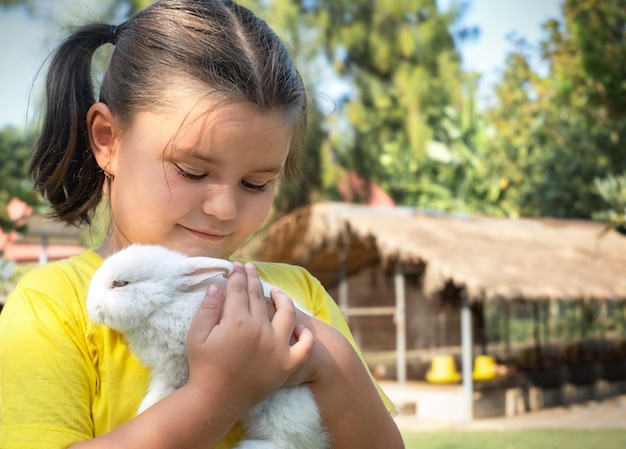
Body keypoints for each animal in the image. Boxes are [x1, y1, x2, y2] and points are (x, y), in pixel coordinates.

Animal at [89, 245, 332, 448]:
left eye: (120, 284)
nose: (90, 307)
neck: (165, 304)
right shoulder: (171, 369)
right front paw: (145, 411)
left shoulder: (176, 364)